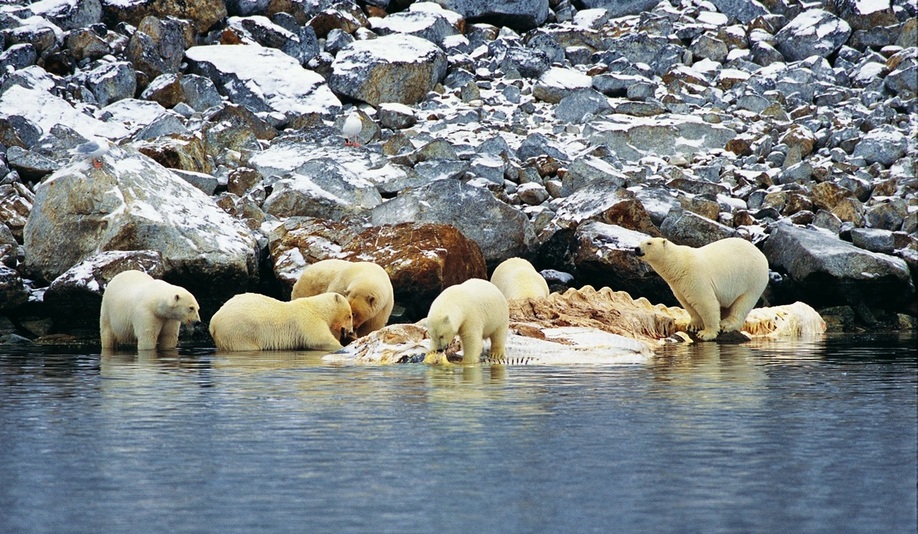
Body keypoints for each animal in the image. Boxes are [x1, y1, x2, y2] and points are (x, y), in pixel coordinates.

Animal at [209, 292, 356, 354]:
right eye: (349, 315)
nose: (350, 331)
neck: (318, 308)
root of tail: (213, 322)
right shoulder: (309, 321)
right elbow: (320, 340)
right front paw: (341, 346)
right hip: (239, 331)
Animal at [632, 239, 768, 344]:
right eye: (641, 242)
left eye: (649, 243)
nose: (636, 249)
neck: (679, 264)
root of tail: (761, 254)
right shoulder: (679, 285)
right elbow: (687, 303)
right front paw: (693, 325)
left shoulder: (695, 277)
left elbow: (706, 303)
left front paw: (706, 334)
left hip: (752, 279)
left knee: (743, 303)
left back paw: (726, 324)